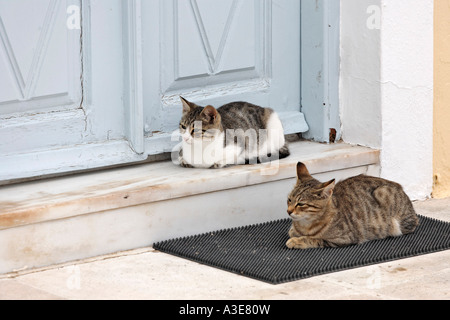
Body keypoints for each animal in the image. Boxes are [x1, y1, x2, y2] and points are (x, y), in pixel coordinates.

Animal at [286, 162, 420, 250]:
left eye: (301, 204)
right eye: (289, 200)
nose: (288, 211)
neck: (305, 225)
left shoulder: (343, 239)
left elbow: (314, 239)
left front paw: (296, 241)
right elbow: (292, 231)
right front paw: (294, 234)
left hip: (384, 194)